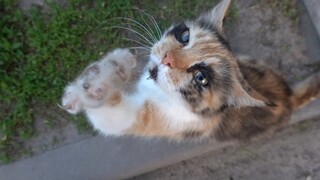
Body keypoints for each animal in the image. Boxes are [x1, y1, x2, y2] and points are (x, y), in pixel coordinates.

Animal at [60, 0, 320, 142]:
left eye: (201, 78)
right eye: (185, 36)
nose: (167, 59)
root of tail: (289, 95)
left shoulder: (167, 120)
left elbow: (111, 117)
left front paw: (96, 87)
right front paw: (115, 64)